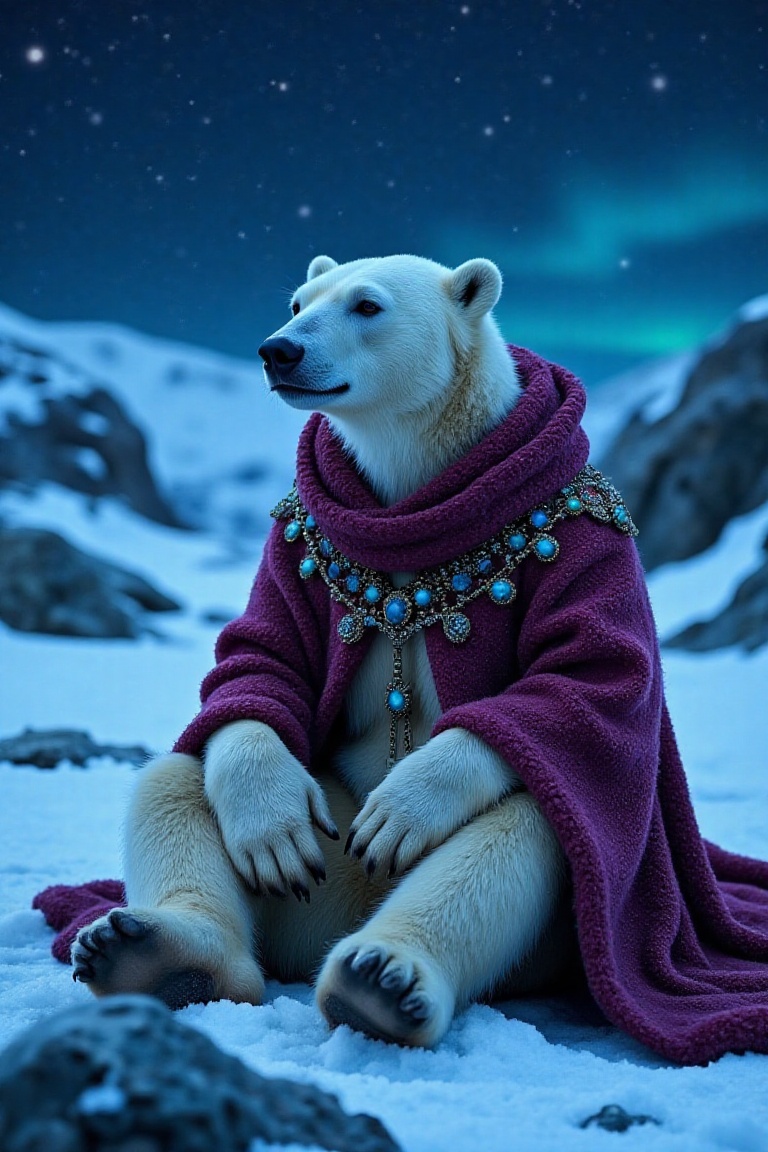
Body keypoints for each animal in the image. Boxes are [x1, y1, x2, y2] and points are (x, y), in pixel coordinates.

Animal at [69, 254, 589, 1046]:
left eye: (367, 305)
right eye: (298, 301)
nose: (277, 350)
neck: (417, 494)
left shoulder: (584, 544)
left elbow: (574, 679)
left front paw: (403, 811)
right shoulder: (294, 546)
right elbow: (262, 660)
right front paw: (271, 829)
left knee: (537, 816)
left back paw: (382, 978)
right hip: (320, 866)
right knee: (178, 771)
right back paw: (156, 953)